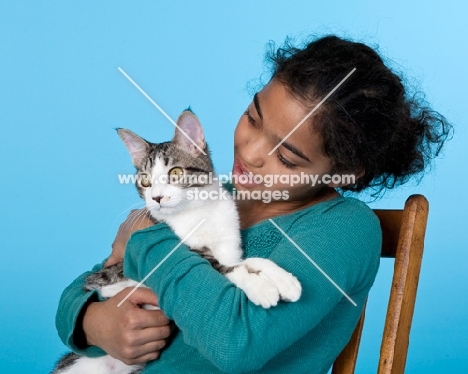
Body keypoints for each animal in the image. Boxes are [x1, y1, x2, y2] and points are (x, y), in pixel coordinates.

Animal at [51, 111, 300, 374]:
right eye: (146, 181)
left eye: (176, 173)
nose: (157, 198)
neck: (198, 211)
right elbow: (227, 268)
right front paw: (261, 287)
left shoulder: (228, 244)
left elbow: (248, 260)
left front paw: (285, 280)